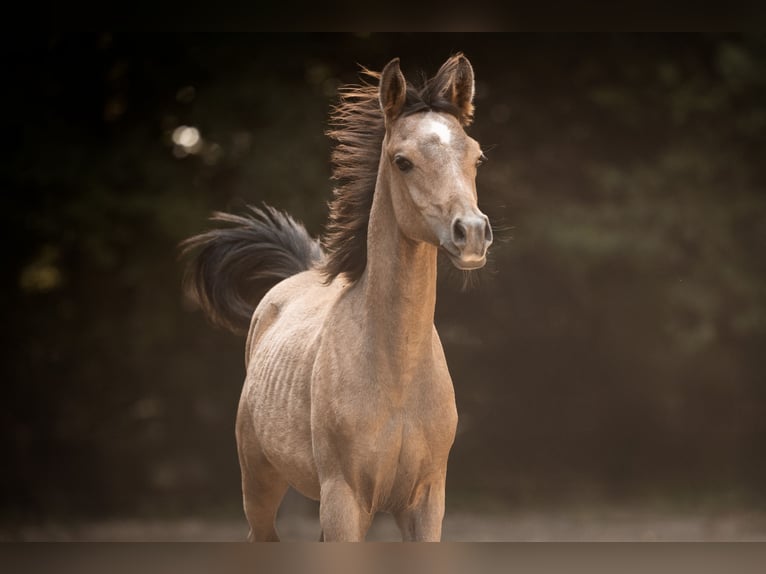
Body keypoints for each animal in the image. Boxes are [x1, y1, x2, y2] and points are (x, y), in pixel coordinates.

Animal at [180, 54, 493, 542]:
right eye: (402, 161)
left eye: (476, 155)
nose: (472, 234)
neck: (397, 375)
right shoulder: (345, 500)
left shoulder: (426, 503)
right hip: (260, 486)